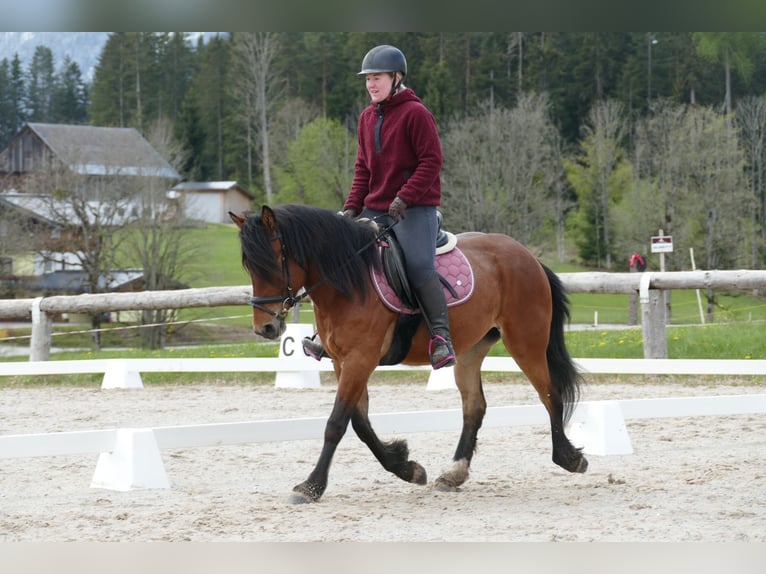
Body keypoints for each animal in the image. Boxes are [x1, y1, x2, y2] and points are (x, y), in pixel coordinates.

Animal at [230, 205, 588, 506]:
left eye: (273, 263)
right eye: (248, 266)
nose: (265, 328)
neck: (348, 280)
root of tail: (527, 255)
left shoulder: (360, 359)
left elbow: (336, 423)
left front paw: (311, 486)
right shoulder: (343, 362)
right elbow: (360, 422)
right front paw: (406, 466)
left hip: (526, 341)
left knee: (550, 394)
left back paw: (569, 458)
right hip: (471, 350)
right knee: (474, 407)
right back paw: (453, 473)